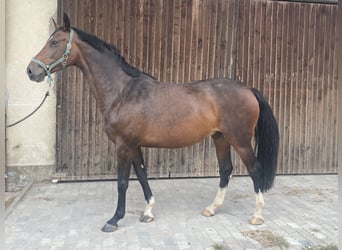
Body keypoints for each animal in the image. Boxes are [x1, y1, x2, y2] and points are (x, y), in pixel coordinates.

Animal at [26, 13, 278, 232]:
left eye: (54, 42)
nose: (31, 70)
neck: (122, 92)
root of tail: (248, 89)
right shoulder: (134, 145)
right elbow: (142, 175)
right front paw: (147, 212)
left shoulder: (123, 145)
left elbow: (122, 182)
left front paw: (114, 219)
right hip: (221, 138)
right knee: (226, 170)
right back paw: (211, 209)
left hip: (240, 140)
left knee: (254, 169)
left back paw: (257, 216)